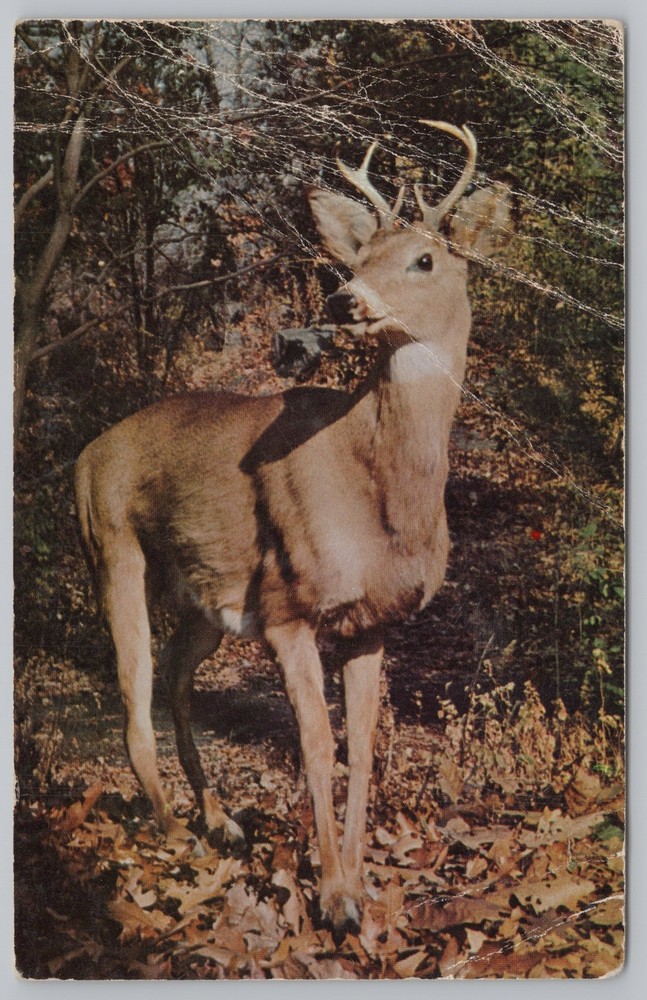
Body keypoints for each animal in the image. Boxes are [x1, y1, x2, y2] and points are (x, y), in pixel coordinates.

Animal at [75, 121, 512, 940]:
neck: (380, 497)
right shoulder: (287, 607)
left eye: (425, 257)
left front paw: (363, 886)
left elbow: (363, 747)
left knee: (175, 681)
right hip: (111, 545)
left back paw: (220, 821)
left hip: (205, 597)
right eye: (356, 256)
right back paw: (176, 831)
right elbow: (314, 745)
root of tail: (83, 456)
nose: (344, 297)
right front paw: (335, 900)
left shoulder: (374, 623)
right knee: (132, 699)